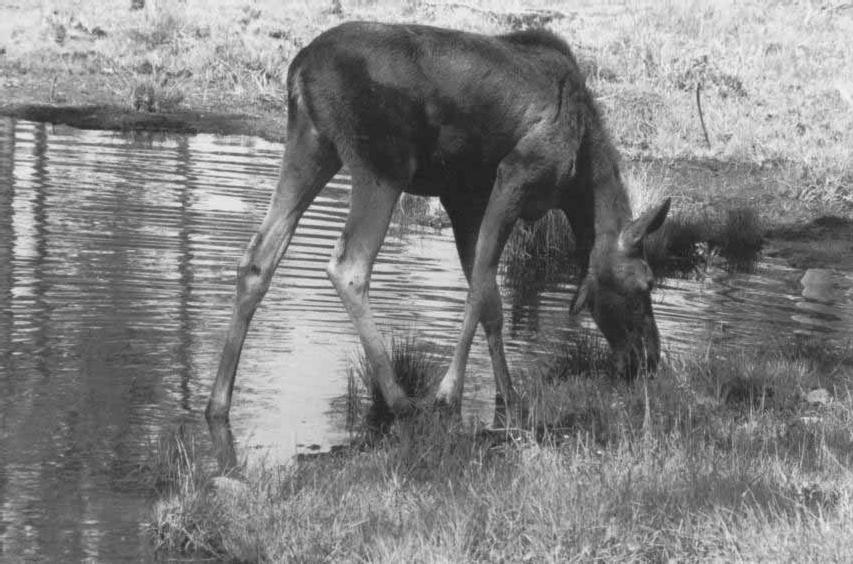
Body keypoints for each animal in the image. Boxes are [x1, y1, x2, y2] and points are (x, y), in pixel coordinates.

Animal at [205, 22, 664, 424]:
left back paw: (217, 401)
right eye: (645, 285)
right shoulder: (513, 177)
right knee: (349, 266)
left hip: (312, 146)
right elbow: (479, 291)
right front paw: (449, 394)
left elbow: (490, 300)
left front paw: (507, 395)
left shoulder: (463, 199)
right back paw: (398, 399)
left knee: (258, 257)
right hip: (383, 166)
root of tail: (299, 68)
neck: (581, 179)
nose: (651, 359)